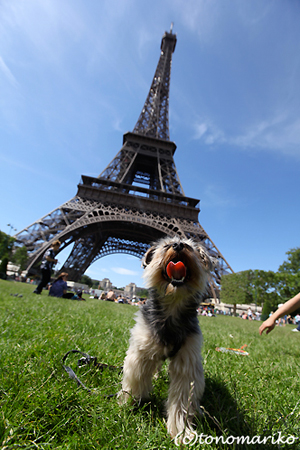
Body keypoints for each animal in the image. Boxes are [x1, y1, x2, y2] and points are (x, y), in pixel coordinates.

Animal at [118, 237, 213, 438]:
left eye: (190, 247)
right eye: (166, 246)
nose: (178, 245)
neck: (173, 305)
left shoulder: (187, 363)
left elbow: (181, 400)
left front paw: (180, 430)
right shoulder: (142, 351)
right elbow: (136, 379)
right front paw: (128, 405)